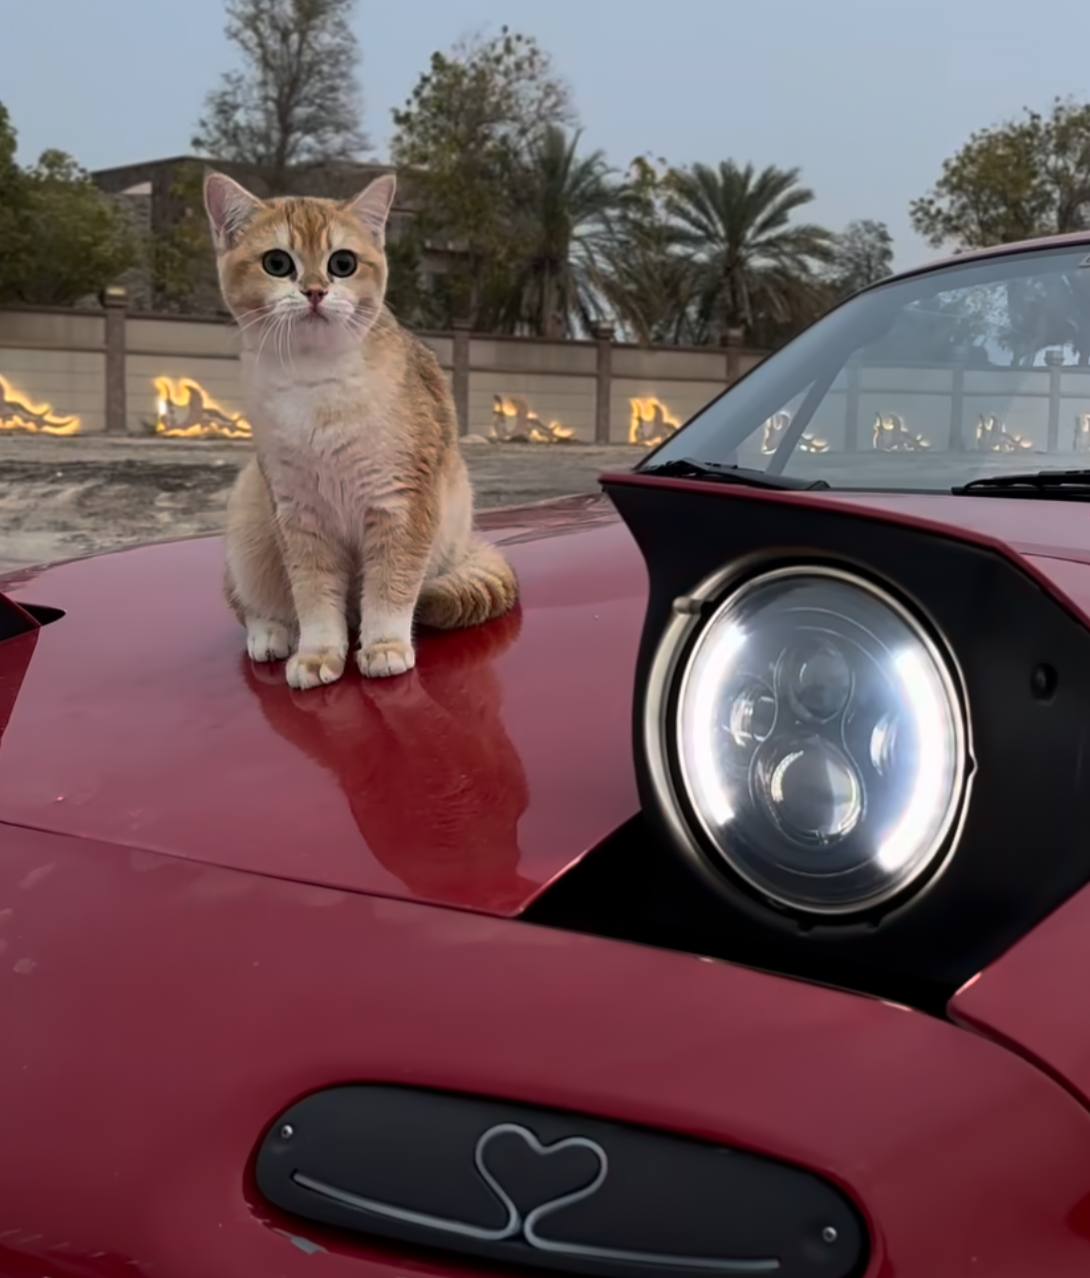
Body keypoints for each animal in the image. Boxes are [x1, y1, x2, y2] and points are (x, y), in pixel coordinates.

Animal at [201, 173, 516, 690]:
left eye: (342, 263)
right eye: (277, 263)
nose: (314, 291)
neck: (316, 385)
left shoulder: (400, 504)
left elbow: (391, 586)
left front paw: (385, 646)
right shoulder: (299, 515)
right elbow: (313, 597)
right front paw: (317, 654)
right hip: (249, 511)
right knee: (248, 602)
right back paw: (270, 633)